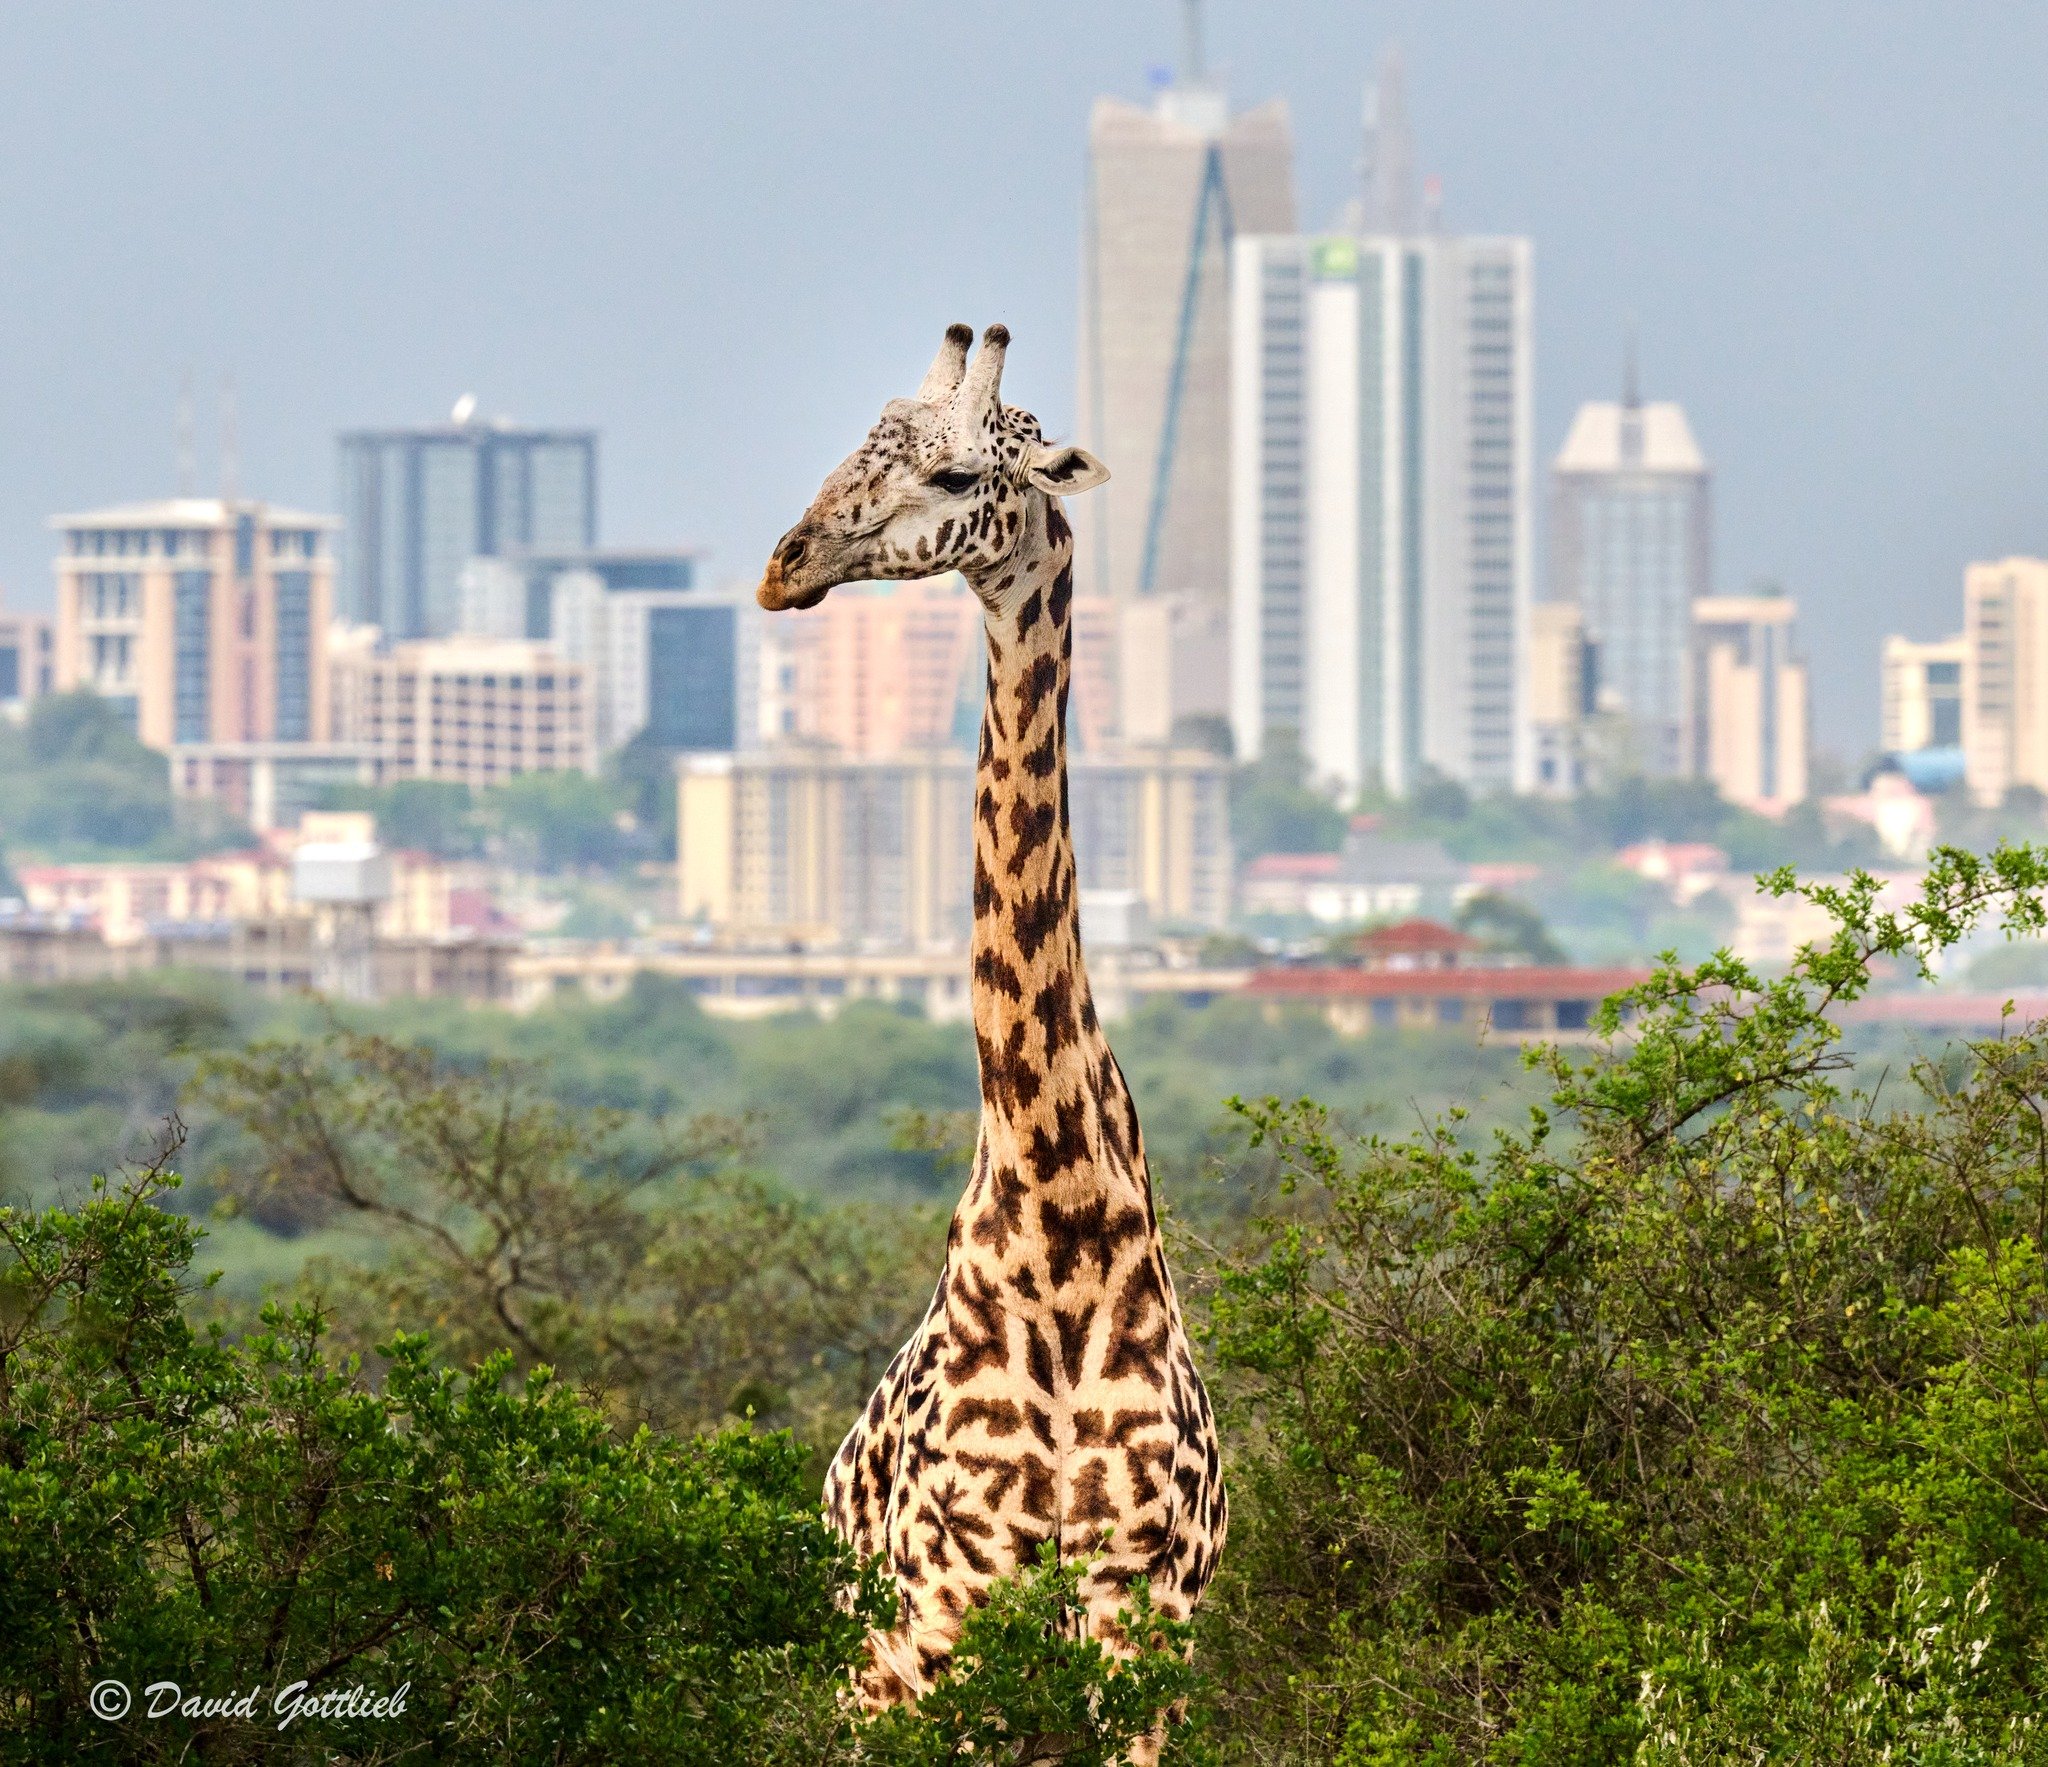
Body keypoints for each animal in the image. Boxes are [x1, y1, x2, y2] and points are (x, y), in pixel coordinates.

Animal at [757, 324, 1226, 1747]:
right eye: (859, 442)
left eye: (959, 471)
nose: (784, 563)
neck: (1063, 1222)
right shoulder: (943, 1618)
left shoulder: (1144, 1631)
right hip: (865, 1678)